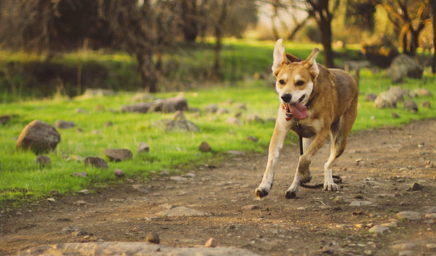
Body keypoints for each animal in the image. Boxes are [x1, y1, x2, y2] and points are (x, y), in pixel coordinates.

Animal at [255, 39, 358, 199]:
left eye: (300, 82)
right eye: (281, 81)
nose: (285, 97)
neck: (308, 106)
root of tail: (350, 76)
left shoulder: (323, 133)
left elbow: (306, 158)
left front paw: (306, 175)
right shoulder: (280, 130)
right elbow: (272, 161)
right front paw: (264, 186)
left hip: (340, 138)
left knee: (327, 163)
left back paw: (327, 181)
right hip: (307, 138)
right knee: (304, 158)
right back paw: (293, 188)